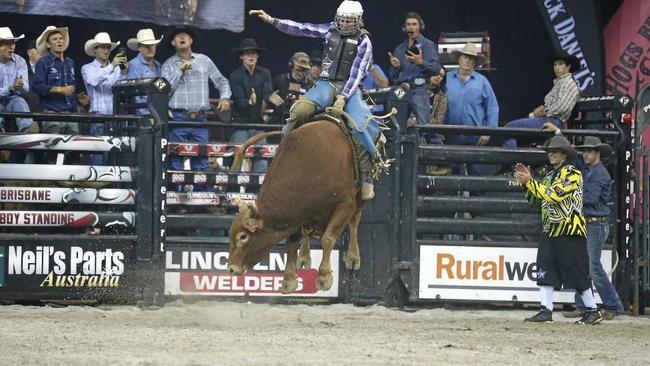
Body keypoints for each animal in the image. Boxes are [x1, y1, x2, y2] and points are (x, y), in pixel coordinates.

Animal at [228, 121, 362, 294]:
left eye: (243, 237)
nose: (231, 268)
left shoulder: (345, 205)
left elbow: (327, 239)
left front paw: (324, 277)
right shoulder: (295, 215)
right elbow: (291, 243)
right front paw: (289, 279)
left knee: (355, 220)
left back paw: (353, 256)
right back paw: (304, 257)